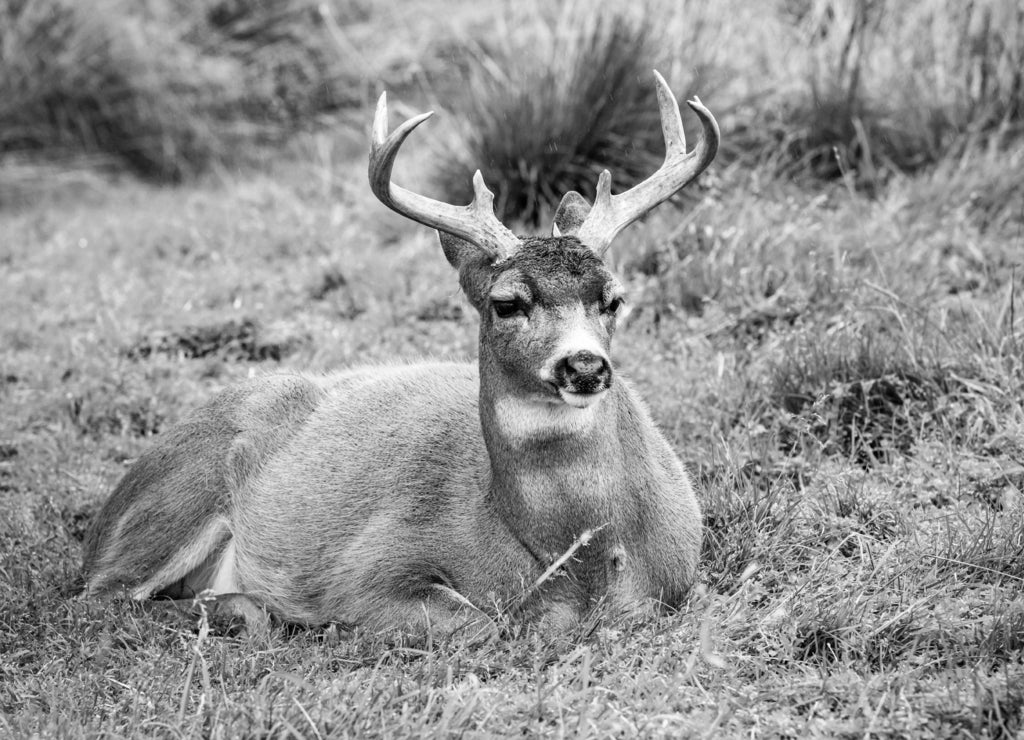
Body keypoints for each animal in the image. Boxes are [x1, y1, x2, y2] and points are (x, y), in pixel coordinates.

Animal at [81, 71, 720, 638]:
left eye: (614, 298)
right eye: (507, 303)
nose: (584, 366)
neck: (579, 566)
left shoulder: (681, 578)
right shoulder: (367, 567)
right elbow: (482, 625)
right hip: (174, 499)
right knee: (102, 599)